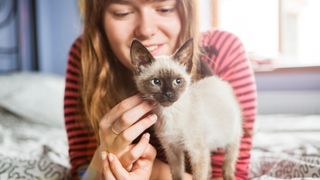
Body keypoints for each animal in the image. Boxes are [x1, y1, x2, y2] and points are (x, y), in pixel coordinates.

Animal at [130, 38, 242, 180]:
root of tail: (215, 79)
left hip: (231, 136)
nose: (169, 94)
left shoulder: (197, 152)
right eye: (156, 82)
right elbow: (177, 174)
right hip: (207, 147)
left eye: (178, 81)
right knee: (209, 168)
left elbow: (198, 177)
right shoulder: (172, 149)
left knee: (228, 162)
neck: (169, 114)